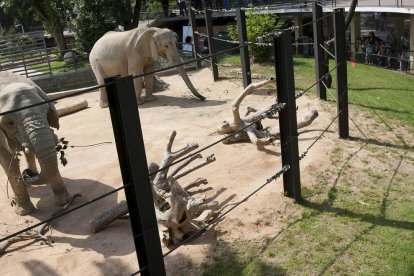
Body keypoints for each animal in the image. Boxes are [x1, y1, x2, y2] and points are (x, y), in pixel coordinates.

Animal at [0, 71, 71, 216]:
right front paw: (24, 213)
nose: (26, 174)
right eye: (10, 123)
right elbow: (8, 161)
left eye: (46, 111)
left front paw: (63, 202)